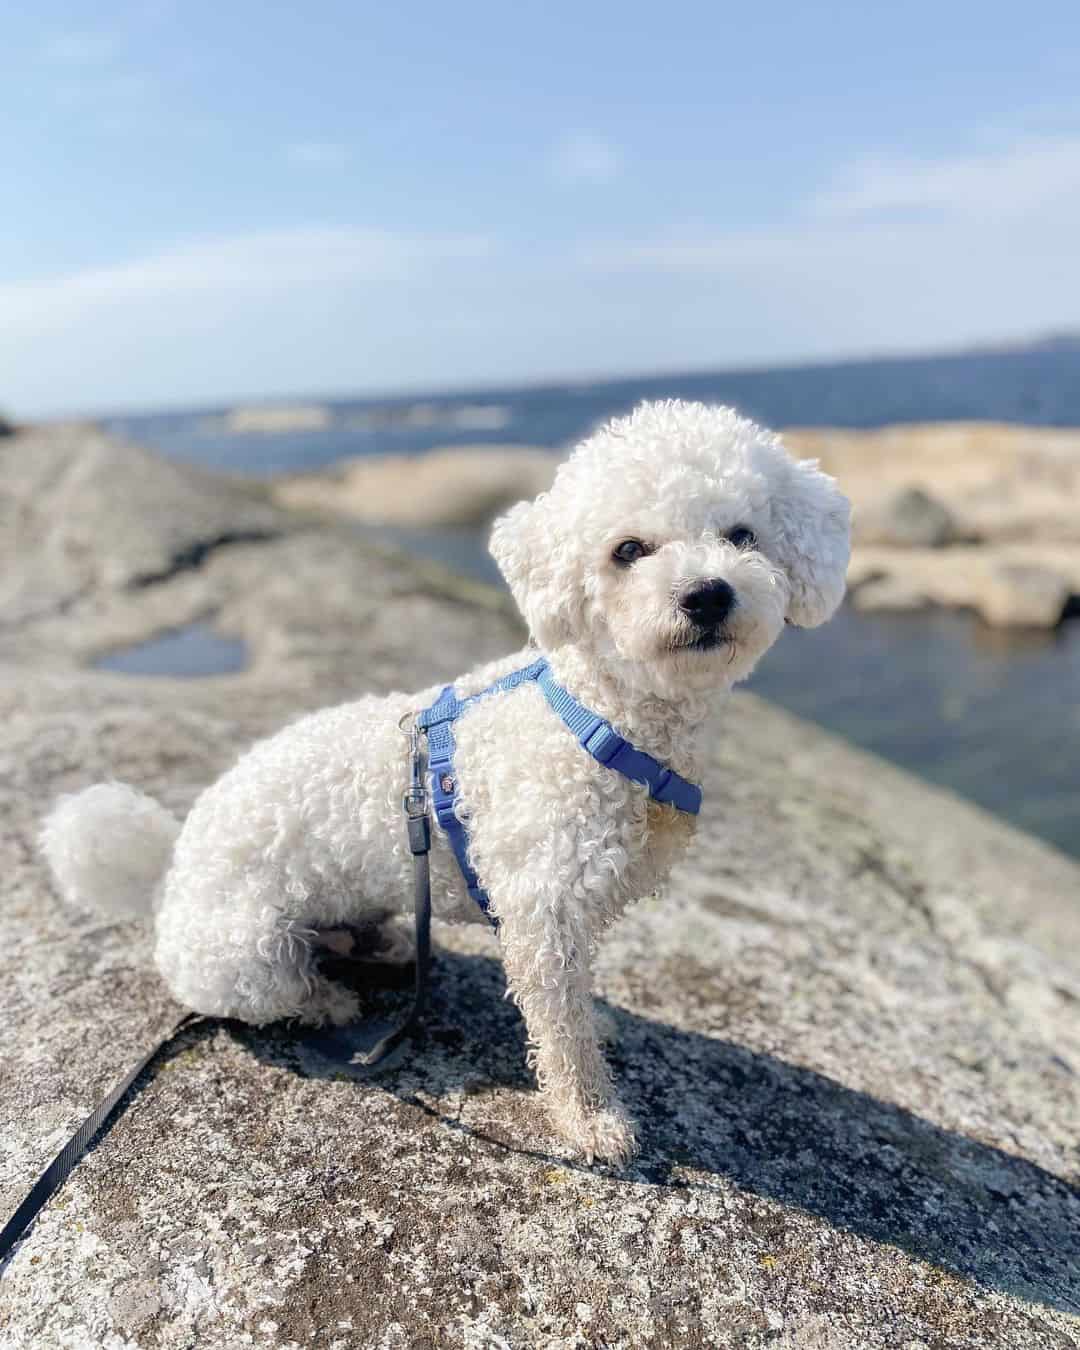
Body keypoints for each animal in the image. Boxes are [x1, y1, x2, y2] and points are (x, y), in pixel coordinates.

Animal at [40, 396, 853, 1161]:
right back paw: (329, 1000)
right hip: (243, 952)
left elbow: (576, 1005)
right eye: (628, 550)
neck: (602, 717)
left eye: (742, 535)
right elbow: (561, 1032)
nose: (709, 594)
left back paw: (383, 943)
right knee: (276, 988)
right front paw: (590, 1119)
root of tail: (168, 866)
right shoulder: (543, 909)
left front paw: (600, 1029)